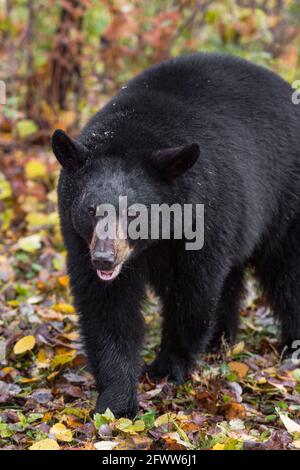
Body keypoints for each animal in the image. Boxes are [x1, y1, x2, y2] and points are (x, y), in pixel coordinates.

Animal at [52, 53, 300, 416]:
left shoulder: (206, 214)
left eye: (134, 213)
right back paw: (219, 340)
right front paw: (116, 399)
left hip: (285, 200)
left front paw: (167, 367)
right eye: (91, 209)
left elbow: (192, 293)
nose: (104, 258)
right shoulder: (80, 242)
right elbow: (107, 307)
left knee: (286, 273)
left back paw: (292, 344)